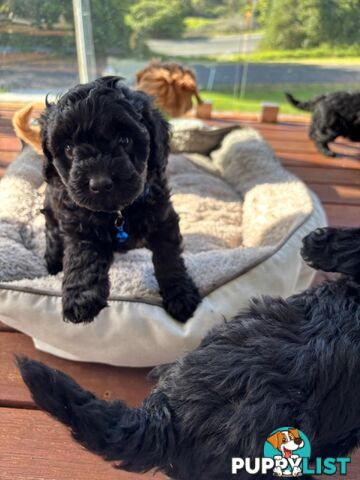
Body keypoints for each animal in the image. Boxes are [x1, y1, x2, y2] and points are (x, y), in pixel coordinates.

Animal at [41, 76, 202, 322]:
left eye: (125, 140)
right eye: (69, 149)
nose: (99, 183)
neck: (119, 212)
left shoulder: (163, 217)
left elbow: (168, 257)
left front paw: (180, 294)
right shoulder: (79, 225)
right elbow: (82, 257)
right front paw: (80, 298)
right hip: (51, 208)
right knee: (52, 233)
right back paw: (53, 262)